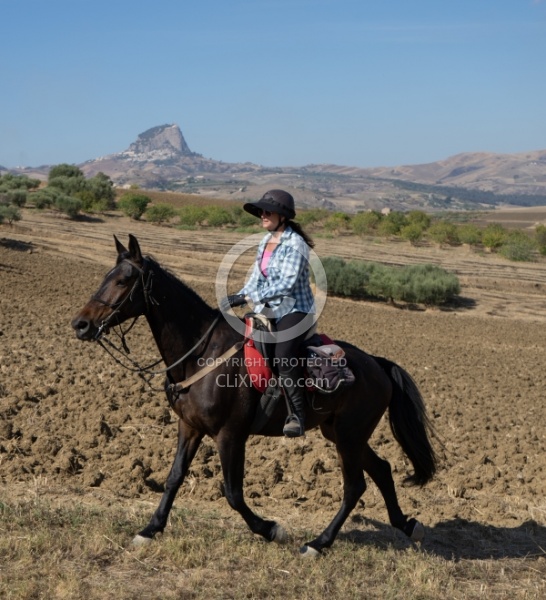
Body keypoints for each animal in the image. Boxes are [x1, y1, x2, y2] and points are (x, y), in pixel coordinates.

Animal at [72, 234, 436, 556]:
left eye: (124, 280)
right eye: (107, 277)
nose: (80, 324)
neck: (201, 353)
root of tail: (377, 364)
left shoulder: (230, 434)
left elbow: (233, 493)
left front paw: (270, 529)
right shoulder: (189, 427)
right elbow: (174, 478)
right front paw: (150, 529)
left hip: (349, 436)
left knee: (355, 486)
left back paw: (318, 544)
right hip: (341, 433)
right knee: (382, 470)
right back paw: (407, 525)